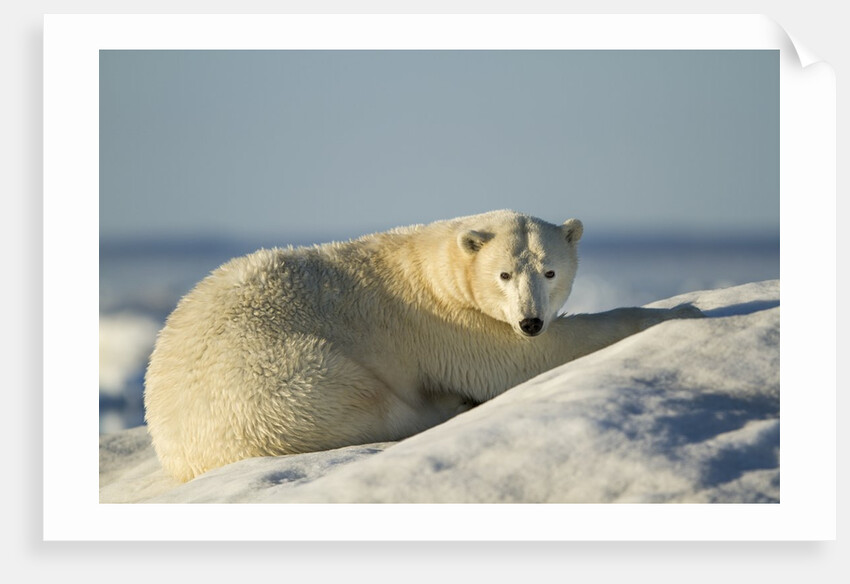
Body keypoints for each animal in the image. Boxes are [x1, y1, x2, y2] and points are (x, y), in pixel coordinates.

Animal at [144, 210, 702, 482]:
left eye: (549, 271)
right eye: (504, 274)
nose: (530, 321)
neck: (435, 269)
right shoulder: (449, 324)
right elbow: (519, 362)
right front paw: (685, 309)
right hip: (279, 376)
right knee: (367, 401)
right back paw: (445, 407)